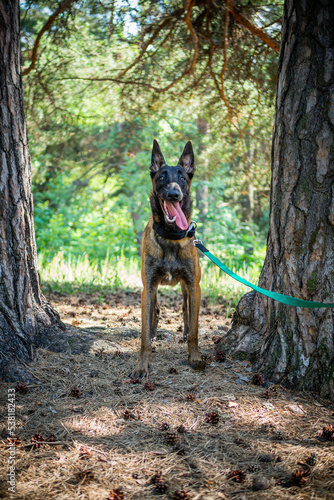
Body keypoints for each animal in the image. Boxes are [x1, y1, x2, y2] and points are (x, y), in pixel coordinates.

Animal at [135, 139, 201, 376]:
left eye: (182, 178)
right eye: (162, 177)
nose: (174, 194)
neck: (171, 236)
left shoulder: (194, 286)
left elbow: (194, 329)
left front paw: (195, 357)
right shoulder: (148, 286)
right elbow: (144, 334)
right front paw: (142, 365)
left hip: (186, 288)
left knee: (186, 310)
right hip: (151, 288)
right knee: (155, 309)